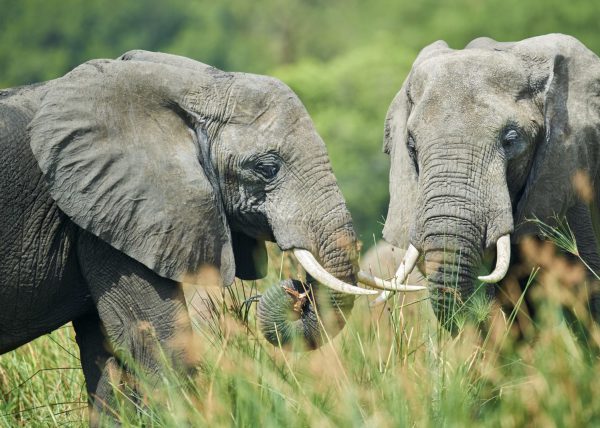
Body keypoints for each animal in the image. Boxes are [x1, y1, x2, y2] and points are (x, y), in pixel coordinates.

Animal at [0, 49, 422, 418]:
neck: (188, 86)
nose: (296, 290)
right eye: (267, 168)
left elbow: (109, 358)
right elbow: (157, 343)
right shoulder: (109, 206)